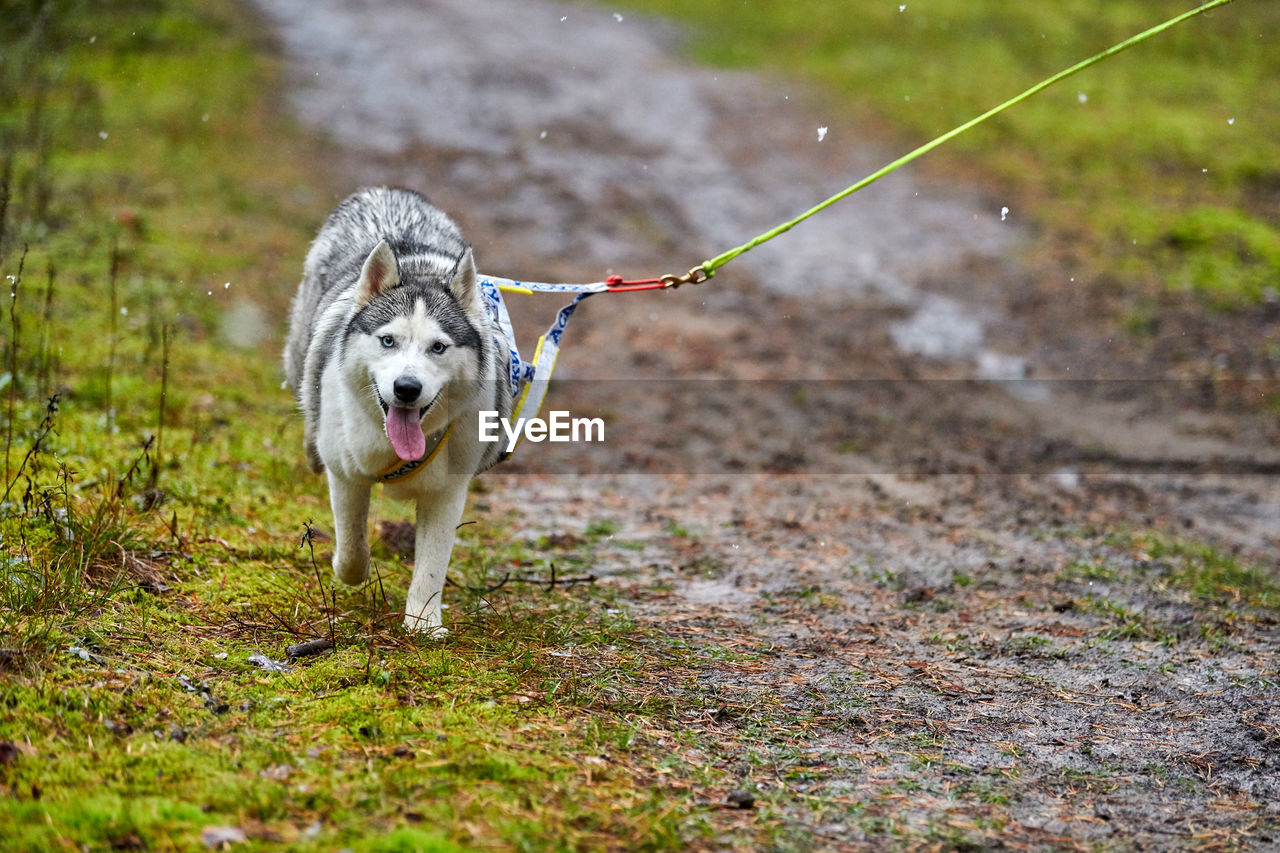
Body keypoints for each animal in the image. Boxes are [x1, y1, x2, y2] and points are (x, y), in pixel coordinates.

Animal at [285, 189, 509, 635]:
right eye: (388, 340)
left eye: (438, 347)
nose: (407, 388)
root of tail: (387, 191)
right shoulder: (346, 474)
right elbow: (352, 546)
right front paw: (348, 570)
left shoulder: (447, 492)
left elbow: (432, 564)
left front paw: (423, 623)